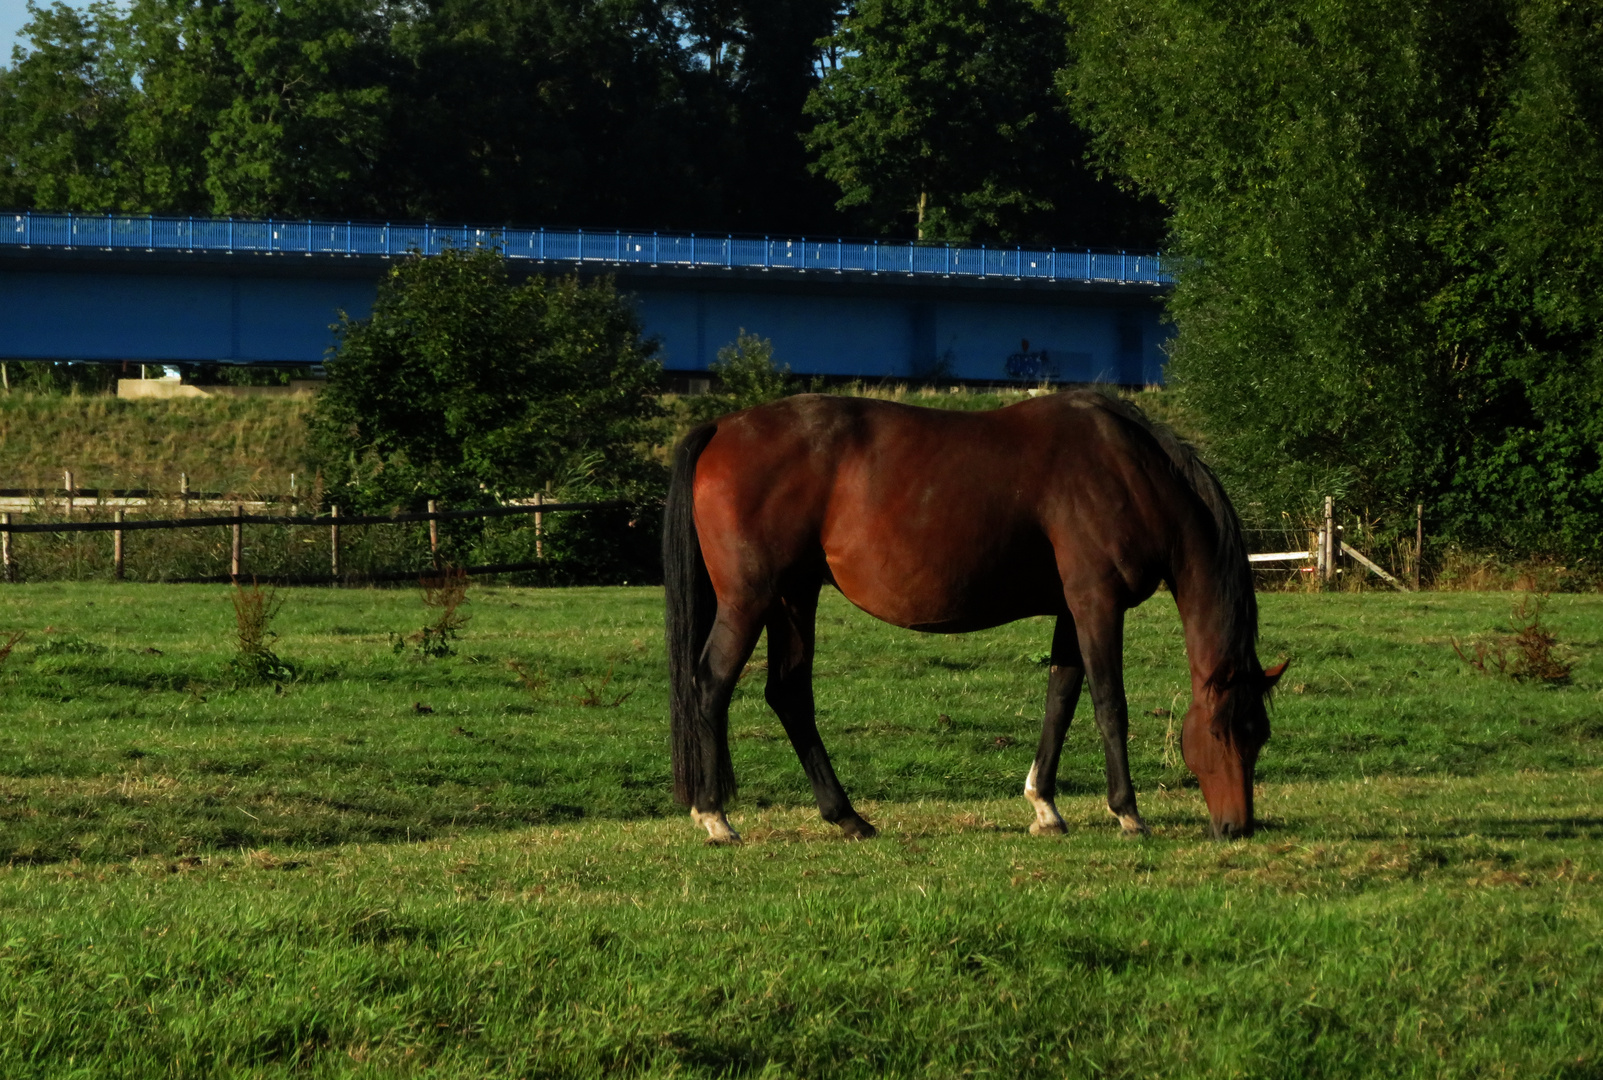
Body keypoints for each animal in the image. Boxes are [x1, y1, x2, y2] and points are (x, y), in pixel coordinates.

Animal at [657, 390, 1282, 846]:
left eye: (1260, 736)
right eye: (1221, 731)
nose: (1236, 827)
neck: (1127, 470)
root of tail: (723, 427)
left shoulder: (1070, 610)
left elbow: (1060, 698)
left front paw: (1045, 806)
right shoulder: (1097, 604)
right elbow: (1109, 705)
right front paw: (1128, 813)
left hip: (793, 597)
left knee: (789, 694)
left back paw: (848, 817)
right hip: (750, 600)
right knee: (710, 685)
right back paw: (715, 818)